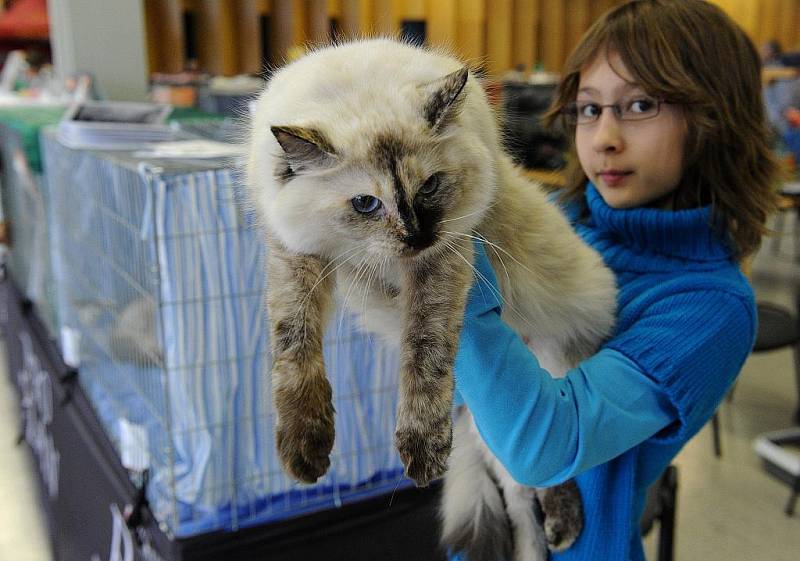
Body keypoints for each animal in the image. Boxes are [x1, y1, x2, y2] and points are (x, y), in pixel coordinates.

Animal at [247, 39, 616, 560]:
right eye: (366, 204)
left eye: (429, 185)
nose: (416, 236)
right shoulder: (295, 255)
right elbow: (294, 350)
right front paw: (306, 451)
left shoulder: (443, 258)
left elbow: (425, 357)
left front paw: (422, 455)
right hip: (494, 435)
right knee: (520, 494)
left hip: (553, 377)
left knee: (550, 469)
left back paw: (562, 527)